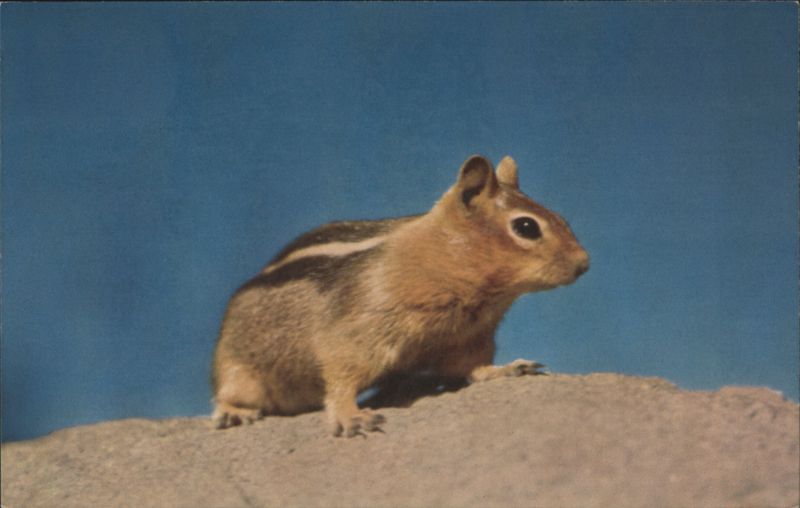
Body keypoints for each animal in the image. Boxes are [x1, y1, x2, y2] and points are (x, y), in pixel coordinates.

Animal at [211, 155, 589, 437]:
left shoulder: (469, 339)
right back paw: (233, 412)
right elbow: (341, 375)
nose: (584, 264)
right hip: (237, 367)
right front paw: (351, 416)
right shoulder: (357, 330)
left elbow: (473, 368)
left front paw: (508, 368)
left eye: (562, 218)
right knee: (227, 392)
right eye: (526, 227)